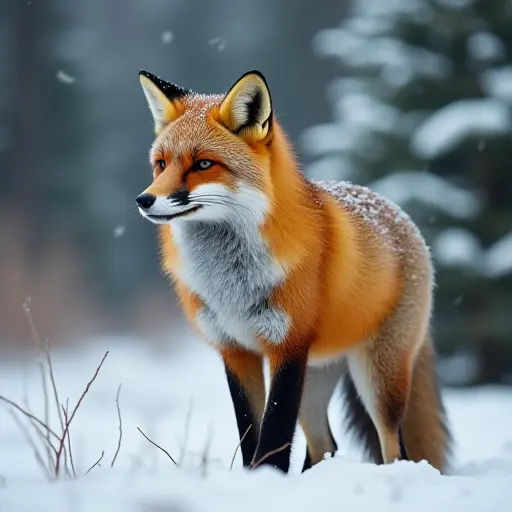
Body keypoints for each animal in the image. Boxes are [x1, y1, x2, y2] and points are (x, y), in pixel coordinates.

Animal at [134, 69, 450, 476]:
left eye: (203, 164)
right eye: (161, 164)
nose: (144, 200)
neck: (231, 282)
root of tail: (401, 215)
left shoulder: (287, 347)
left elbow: (274, 436)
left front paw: (266, 478)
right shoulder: (235, 350)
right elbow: (251, 432)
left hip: (378, 377)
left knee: (394, 447)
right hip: (315, 379)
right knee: (325, 445)